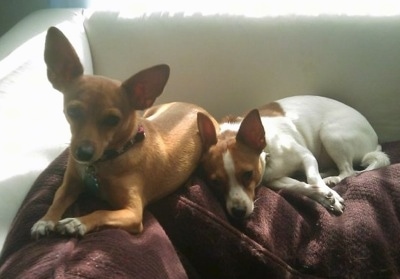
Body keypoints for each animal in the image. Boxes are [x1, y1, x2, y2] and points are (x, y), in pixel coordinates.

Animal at [31, 26, 214, 237]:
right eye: (72, 111)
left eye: (113, 120)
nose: (83, 153)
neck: (106, 160)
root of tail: (195, 107)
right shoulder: (69, 184)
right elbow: (57, 199)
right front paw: (45, 220)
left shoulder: (133, 213)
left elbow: (101, 212)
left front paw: (78, 222)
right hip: (151, 112)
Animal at [198, 96, 390, 219]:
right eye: (215, 182)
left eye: (248, 174)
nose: (238, 212)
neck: (269, 154)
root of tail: (376, 142)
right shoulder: (274, 180)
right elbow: (298, 186)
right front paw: (322, 196)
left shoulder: (306, 156)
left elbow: (312, 178)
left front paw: (330, 195)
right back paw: (327, 176)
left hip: (331, 133)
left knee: (349, 171)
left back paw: (332, 179)